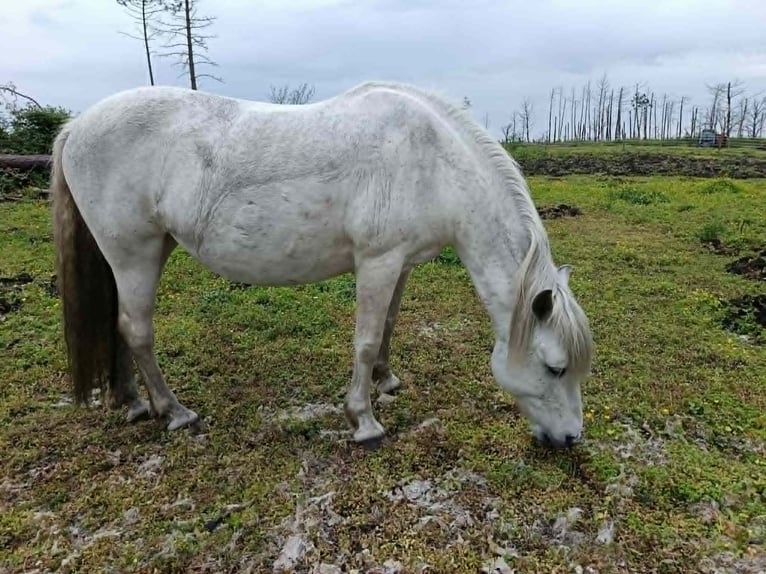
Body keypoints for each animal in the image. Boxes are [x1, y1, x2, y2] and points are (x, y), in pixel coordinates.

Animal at [50, 80, 593, 449]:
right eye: (555, 368)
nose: (570, 438)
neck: (433, 162)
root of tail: (77, 126)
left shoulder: (401, 264)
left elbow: (388, 326)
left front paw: (386, 381)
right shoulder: (377, 262)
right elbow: (366, 339)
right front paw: (364, 420)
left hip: (142, 253)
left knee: (118, 326)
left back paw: (132, 402)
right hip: (135, 254)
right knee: (136, 329)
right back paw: (175, 411)